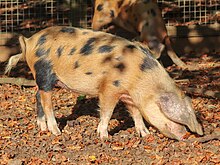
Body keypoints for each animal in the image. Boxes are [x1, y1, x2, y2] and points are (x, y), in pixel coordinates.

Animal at [4, 26, 203, 140]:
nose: (185, 136)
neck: (139, 77)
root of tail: (29, 41)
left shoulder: (129, 95)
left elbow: (136, 113)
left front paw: (145, 134)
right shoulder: (109, 88)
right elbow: (107, 111)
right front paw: (103, 137)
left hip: (41, 77)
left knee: (37, 96)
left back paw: (43, 127)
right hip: (44, 72)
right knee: (46, 101)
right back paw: (56, 132)